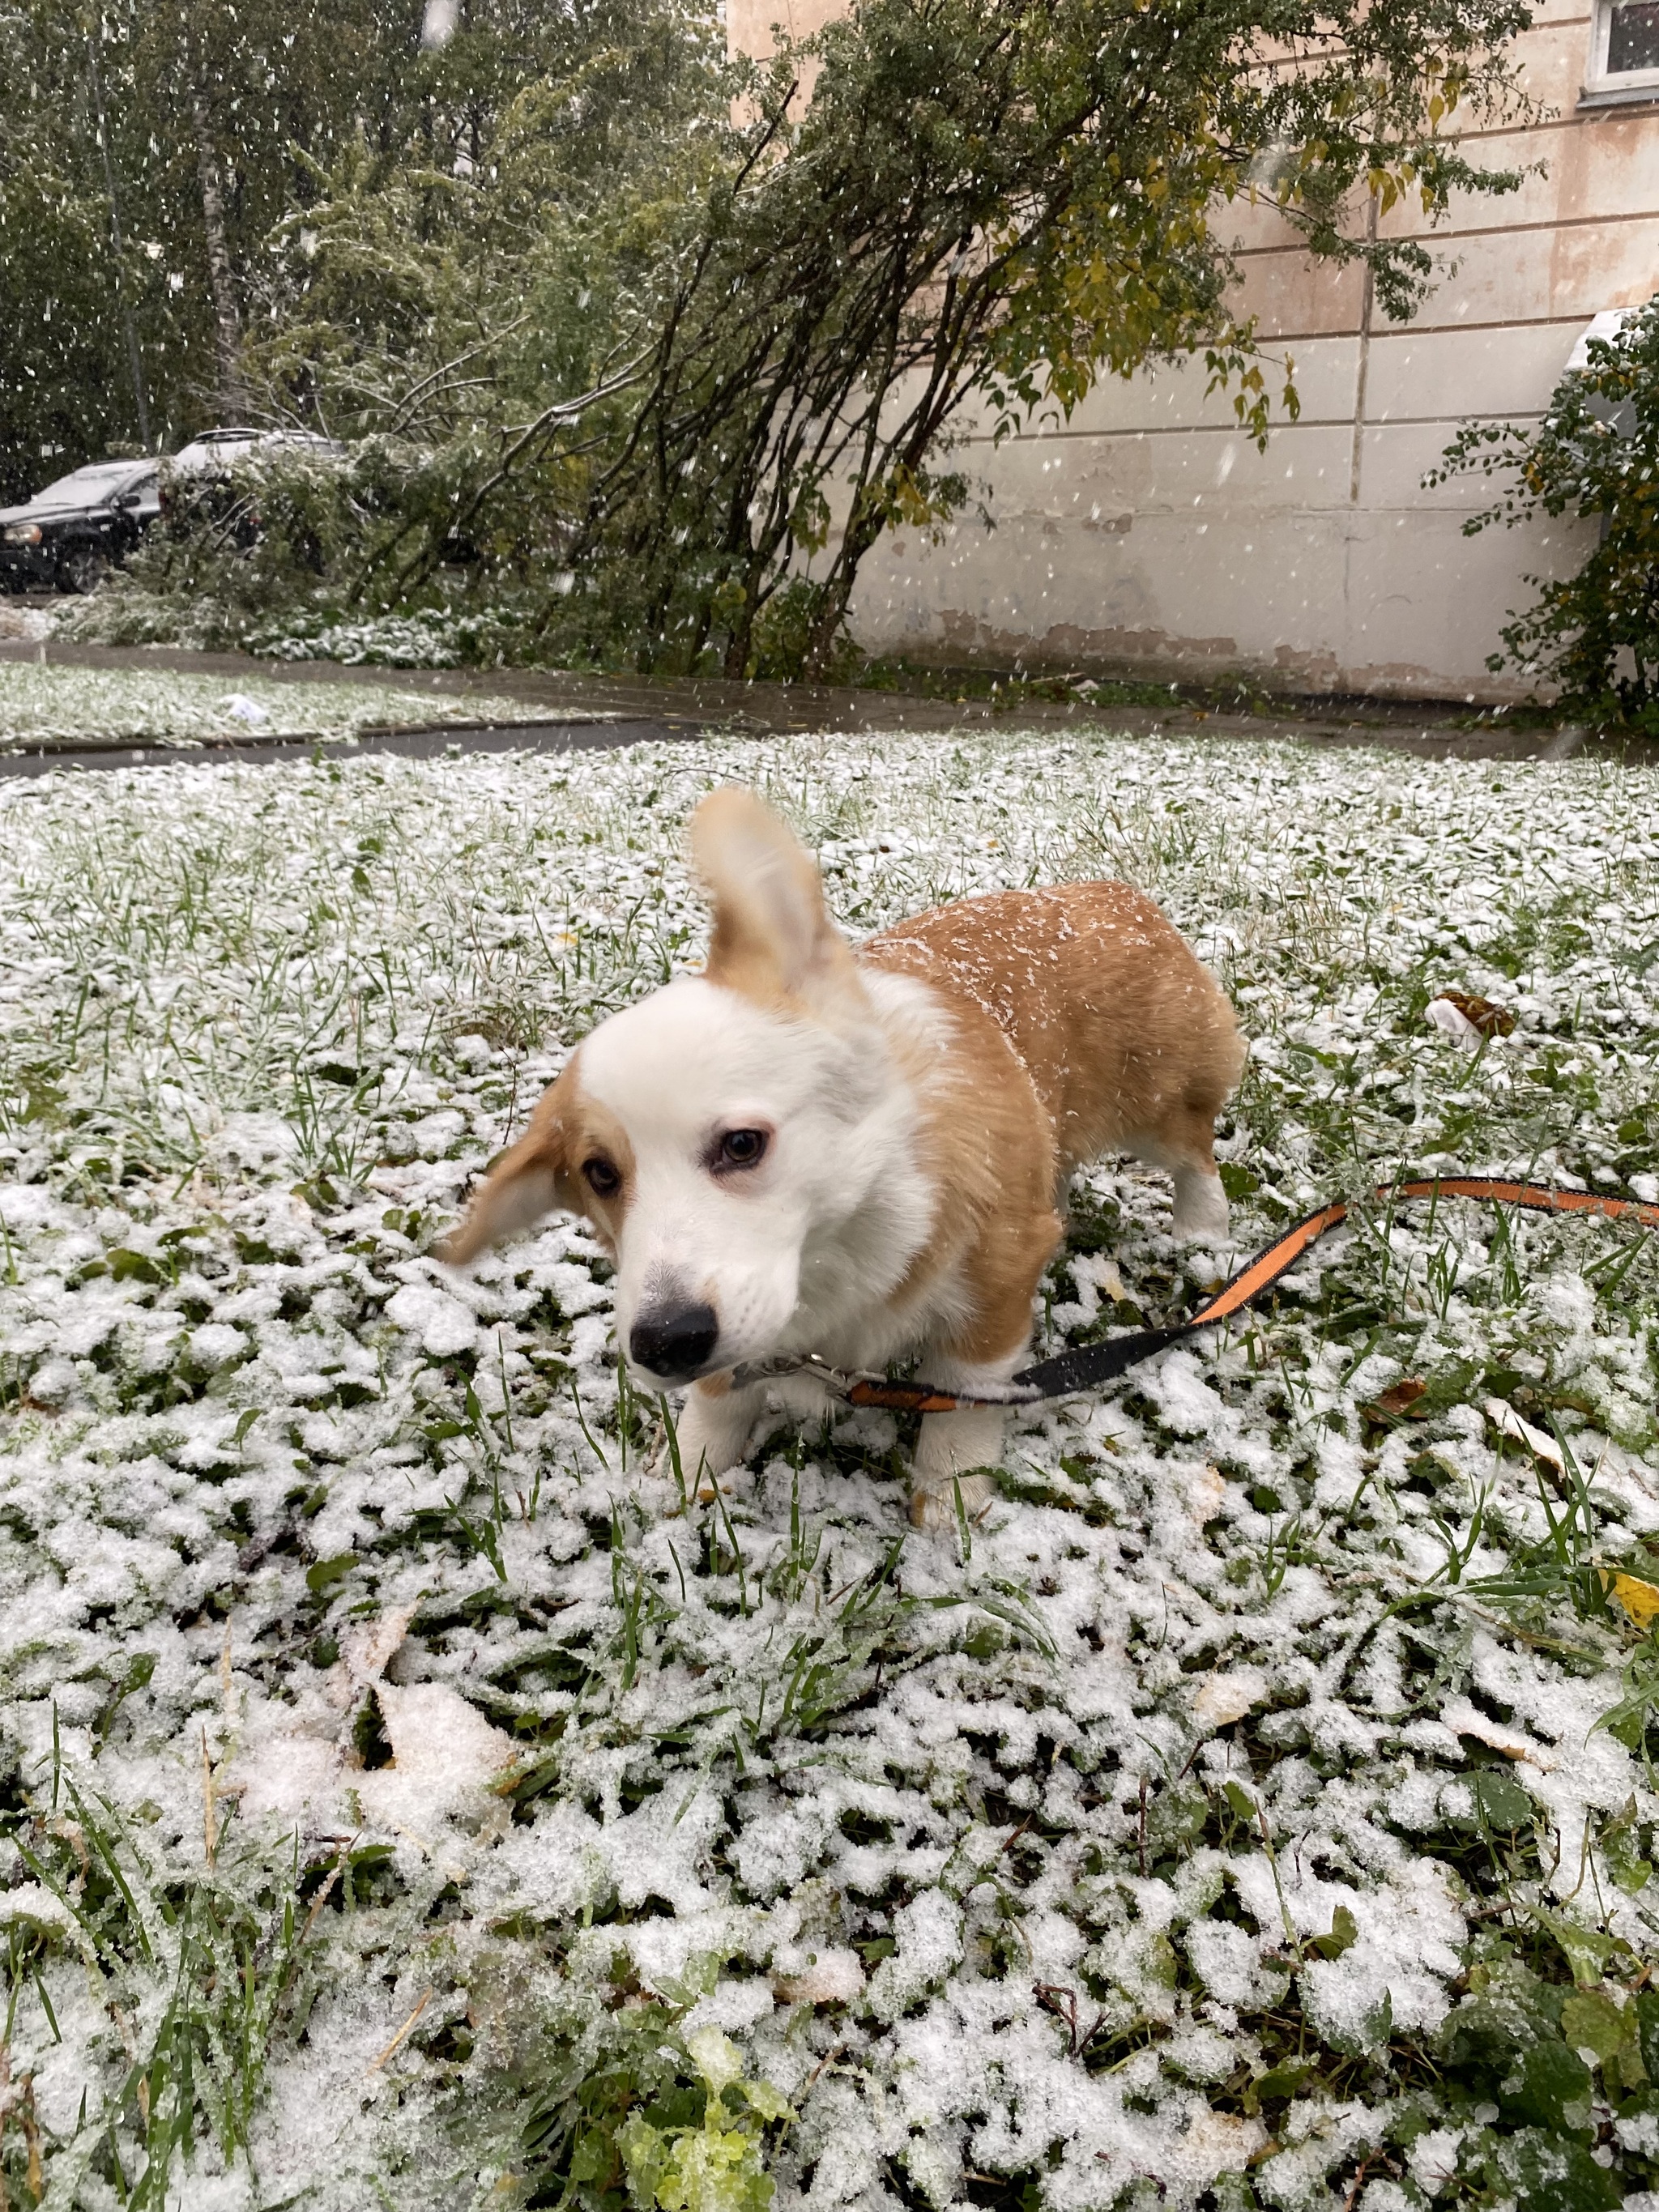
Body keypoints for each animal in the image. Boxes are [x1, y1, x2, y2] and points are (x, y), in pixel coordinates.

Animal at [442, 787, 1247, 1530]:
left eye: (743, 1144)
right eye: (600, 1174)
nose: (666, 1343)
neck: (842, 1240)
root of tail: (1115, 894)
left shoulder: (991, 1295)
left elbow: (960, 1409)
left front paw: (948, 1509)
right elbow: (716, 1404)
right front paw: (686, 1476)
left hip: (1158, 1104)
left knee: (1194, 1152)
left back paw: (1202, 1233)